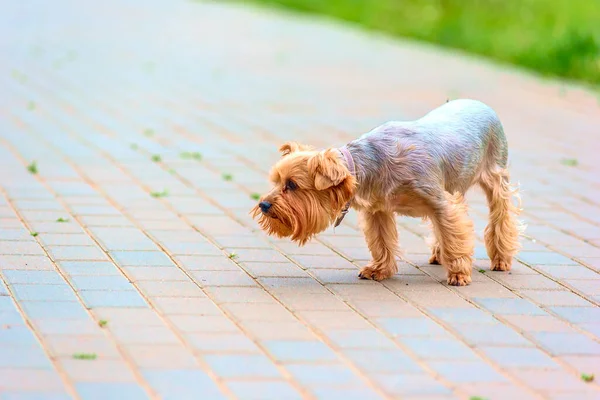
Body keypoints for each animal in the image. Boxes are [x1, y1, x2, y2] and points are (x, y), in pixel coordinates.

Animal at [251, 100, 524, 288]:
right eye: (276, 182)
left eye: (292, 185)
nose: (263, 205)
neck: (363, 165)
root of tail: (481, 104)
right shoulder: (379, 209)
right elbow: (382, 241)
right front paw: (379, 270)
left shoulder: (440, 201)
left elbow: (454, 233)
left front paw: (458, 273)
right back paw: (439, 254)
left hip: (496, 177)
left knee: (501, 217)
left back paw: (500, 259)